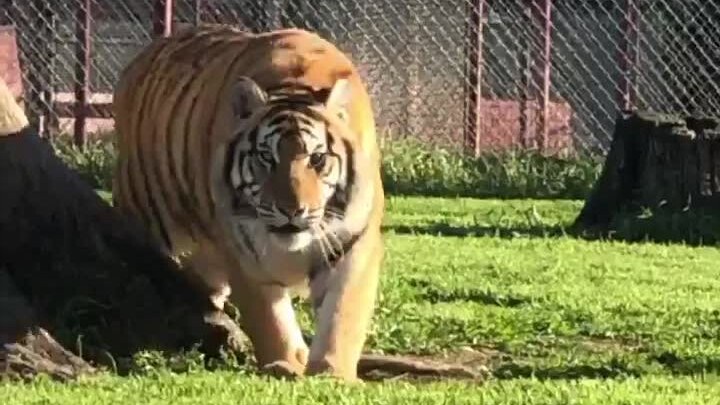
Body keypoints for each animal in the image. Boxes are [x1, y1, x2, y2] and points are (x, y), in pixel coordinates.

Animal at [111, 24, 385, 381]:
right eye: (266, 157)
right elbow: (270, 319)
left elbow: (343, 313)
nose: (292, 210)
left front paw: (332, 372)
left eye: (317, 158)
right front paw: (285, 363)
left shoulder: (356, 244)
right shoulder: (242, 250)